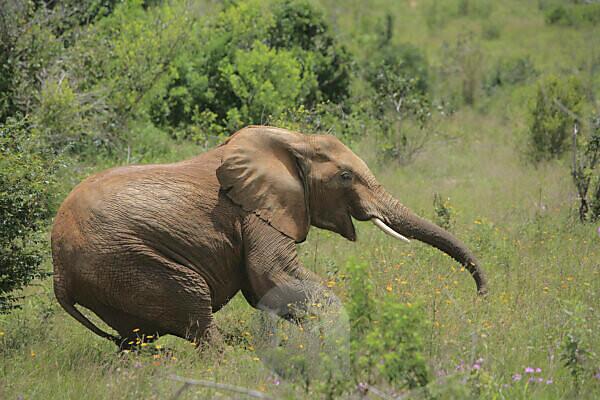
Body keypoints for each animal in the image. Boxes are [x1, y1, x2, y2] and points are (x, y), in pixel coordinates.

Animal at [51, 126, 490, 348]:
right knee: (193, 304)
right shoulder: (255, 213)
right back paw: (230, 360)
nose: (481, 297)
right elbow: (272, 276)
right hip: (128, 261)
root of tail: (58, 273)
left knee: (135, 339)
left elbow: (265, 286)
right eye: (346, 176)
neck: (291, 142)